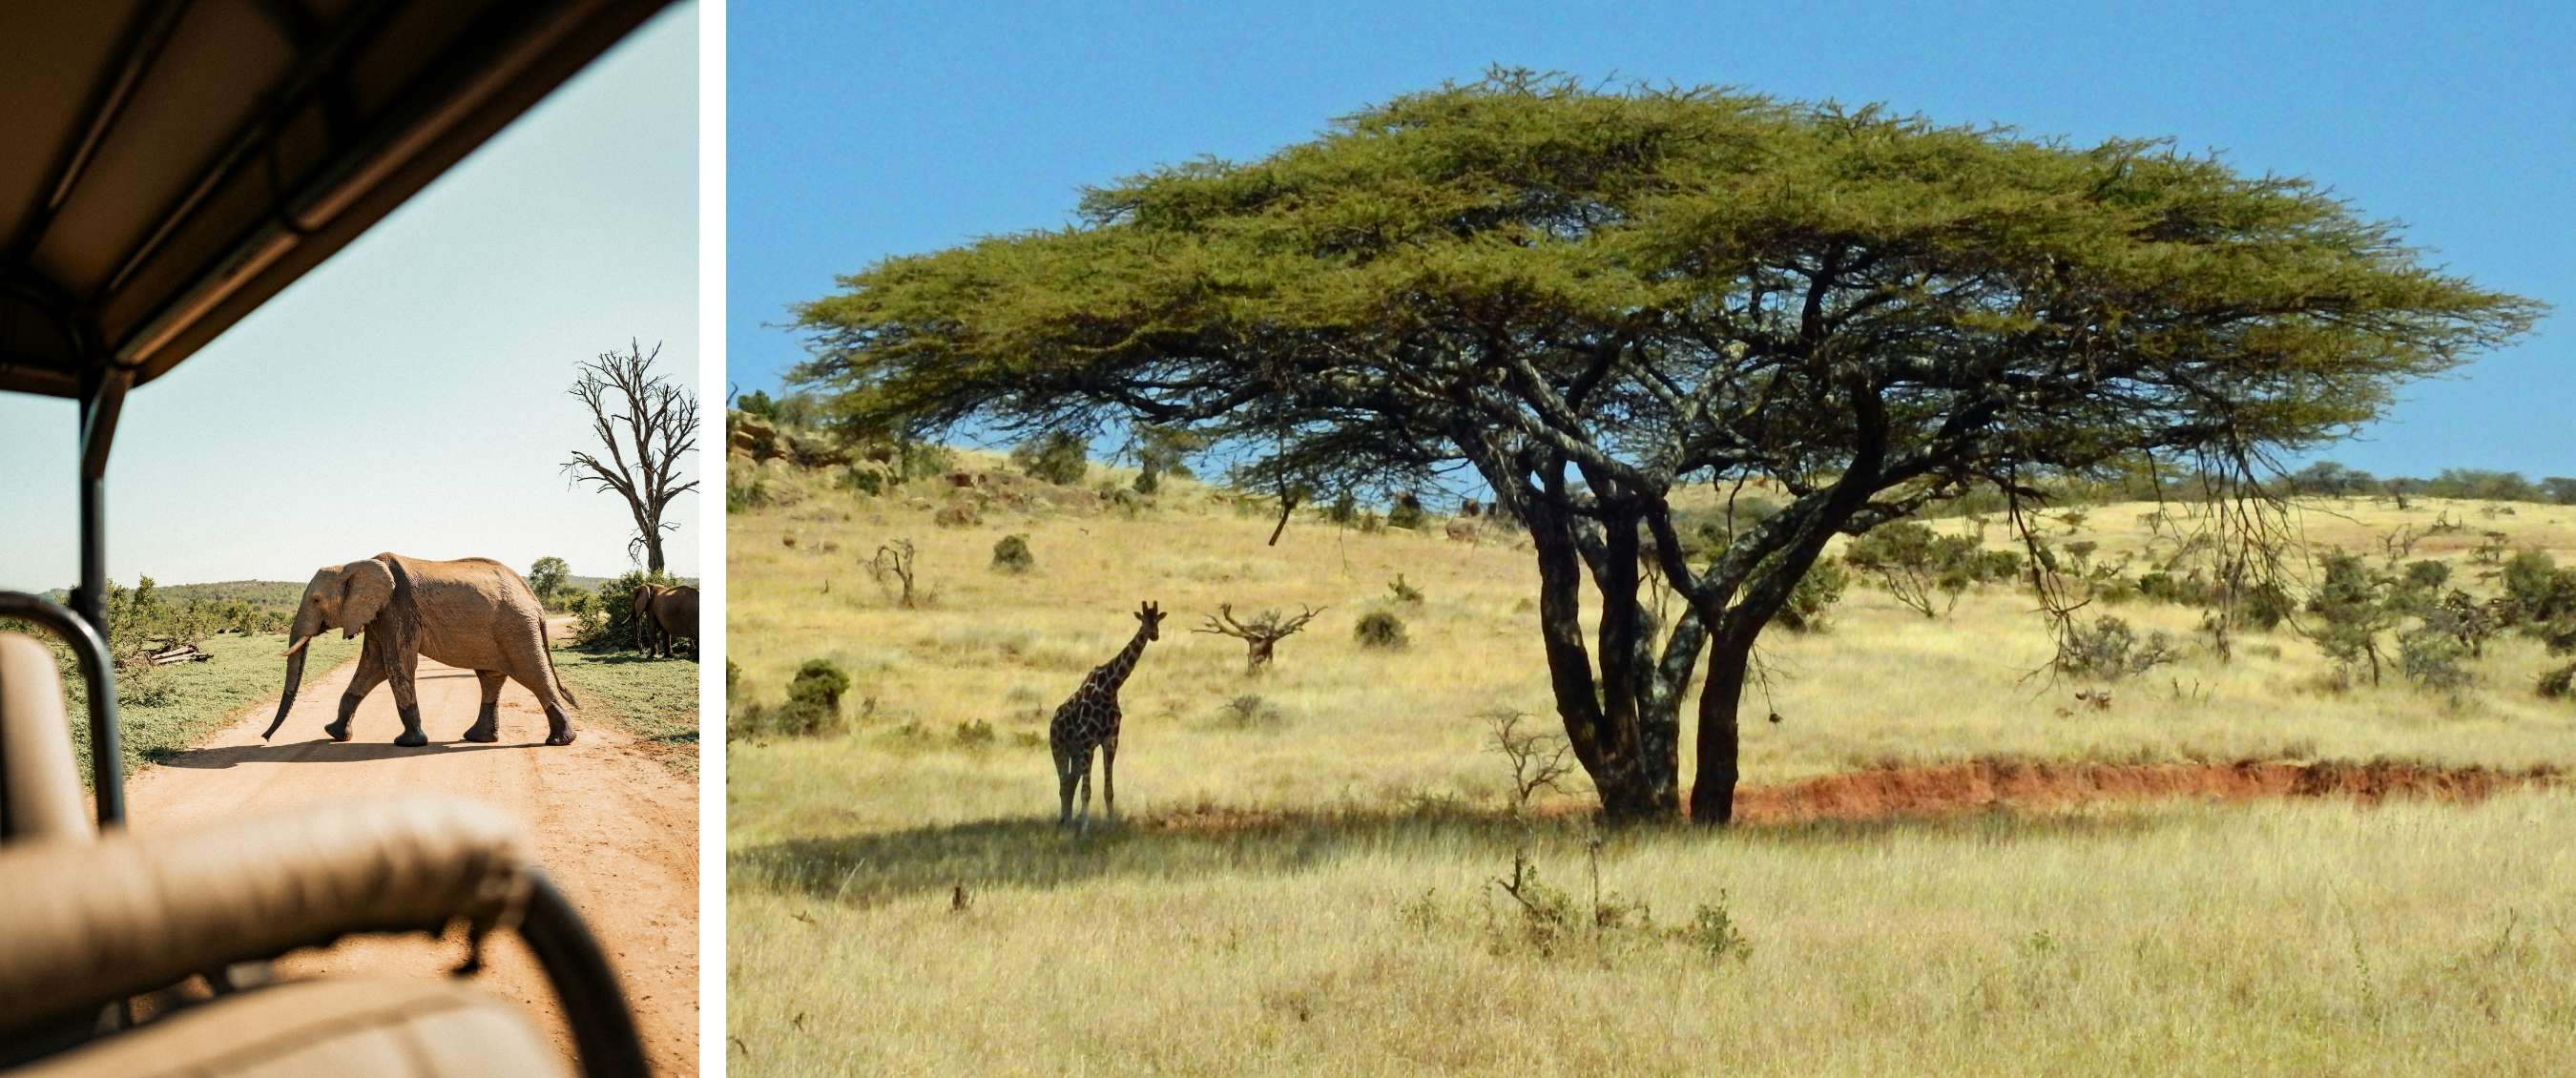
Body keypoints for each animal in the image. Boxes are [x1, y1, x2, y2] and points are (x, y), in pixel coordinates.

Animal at [1050, 600, 1165, 833]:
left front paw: (1111, 824)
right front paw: (1084, 829)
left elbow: (1108, 790)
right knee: (1063, 784)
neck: (1110, 688)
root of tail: (1052, 721)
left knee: (1070, 782)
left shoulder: (1110, 740)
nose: (1154, 635)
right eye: (1144, 621)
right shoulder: (1088, 741)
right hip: (1059, 748)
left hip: (1075, 753)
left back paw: (1069, 821)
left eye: (1157, 620)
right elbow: (1086, 791)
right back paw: (1064, 823)